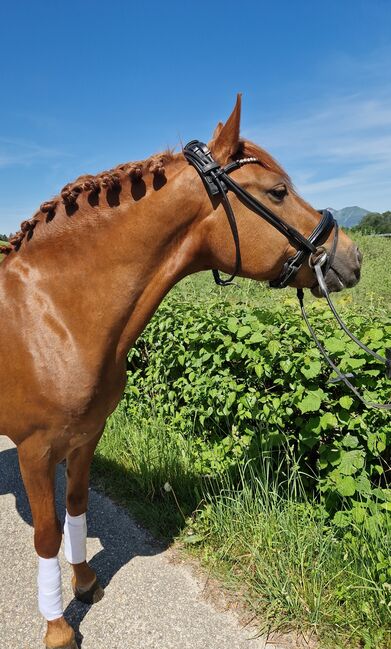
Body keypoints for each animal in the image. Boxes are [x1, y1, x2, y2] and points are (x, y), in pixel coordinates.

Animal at [0, 97, 362, 648]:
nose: (353, 257)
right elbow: (46, 534)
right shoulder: (35, 451)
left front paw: (84, 583)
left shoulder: (87, 435)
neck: (55, 312)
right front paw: (58, 626)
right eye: (278, 191)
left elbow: (77, 506)